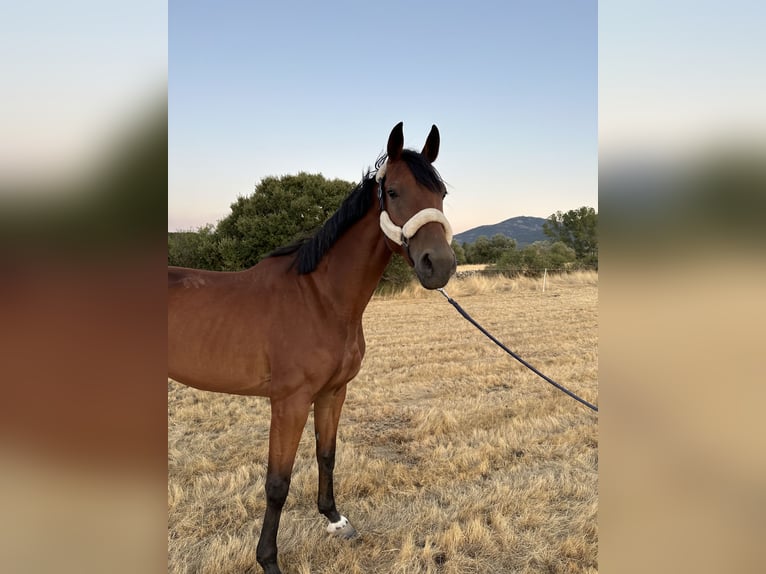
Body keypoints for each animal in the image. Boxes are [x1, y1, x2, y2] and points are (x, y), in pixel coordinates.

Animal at [168, 122, 456, 574]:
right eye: (393, 192)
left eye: (441, 194)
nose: (438, 265)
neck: (320, 299)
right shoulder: (290, 401)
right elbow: (277, 483)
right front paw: (268, 560)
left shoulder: (333, 392)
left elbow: (327, 455)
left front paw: (336, 520)